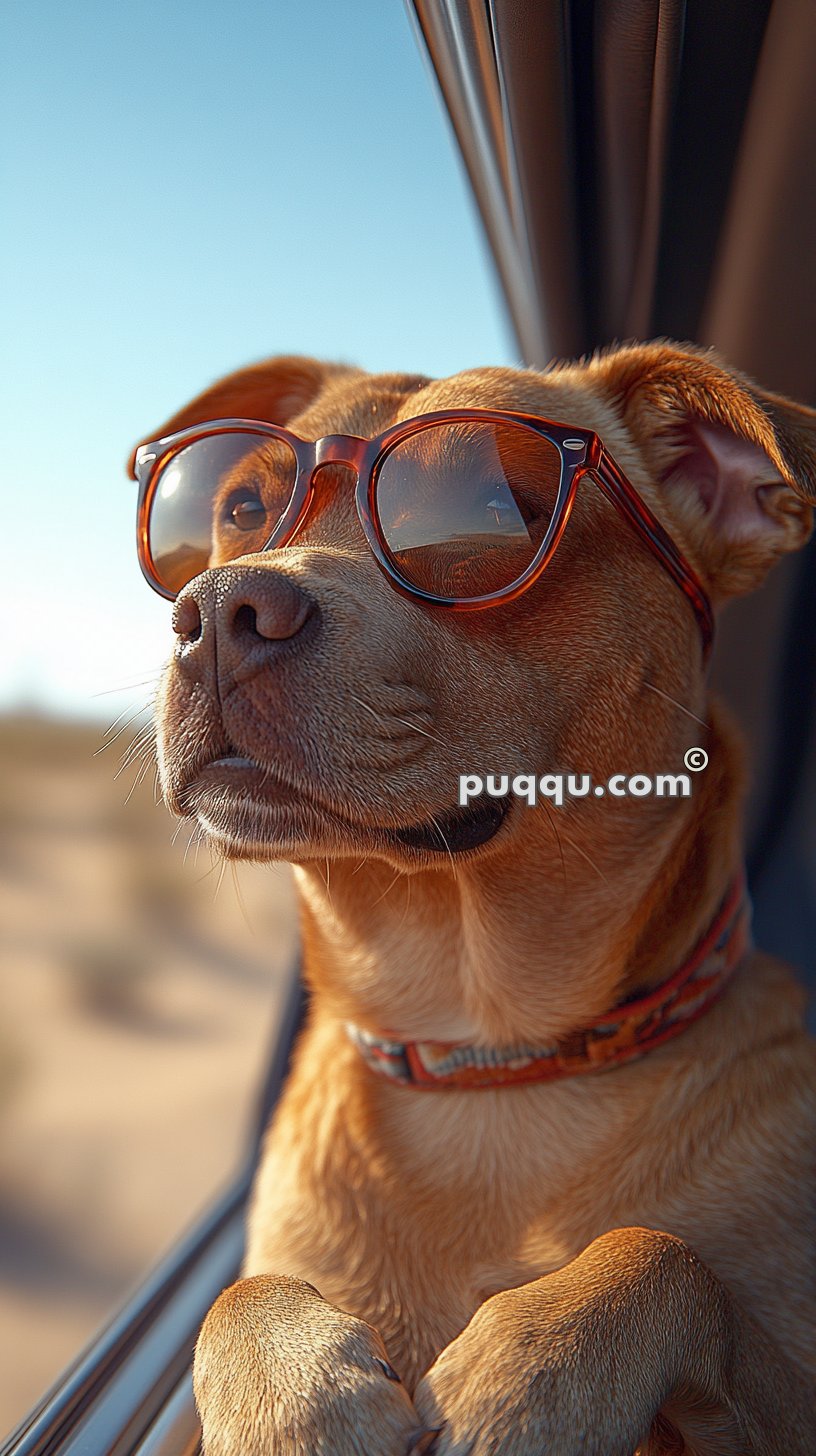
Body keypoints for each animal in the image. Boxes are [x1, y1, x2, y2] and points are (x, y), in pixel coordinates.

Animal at [134, 343, 816, 1456]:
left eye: (488, 515)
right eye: (237, 509)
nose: (220, 609)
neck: (483, 1056)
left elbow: (666, 1256)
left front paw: (531, 1374)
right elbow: (238, 1294)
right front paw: (298, 1395)